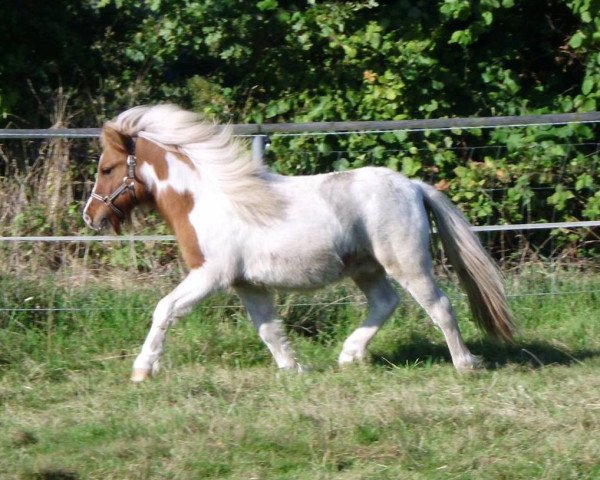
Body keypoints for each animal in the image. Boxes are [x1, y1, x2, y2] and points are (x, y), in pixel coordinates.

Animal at [84, 105, 516, 382]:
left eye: (107, 168)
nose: (90, 216)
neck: (206, 199)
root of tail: (412, 185)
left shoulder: (210, 275)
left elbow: (165, 309)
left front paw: (142, 369)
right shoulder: (248, 284)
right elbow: (268, 329)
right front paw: (293, 368)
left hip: (407, 263)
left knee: (439, 306)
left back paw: (465, 364)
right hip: (365, 267)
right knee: (385, 302)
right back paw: (348, 355)